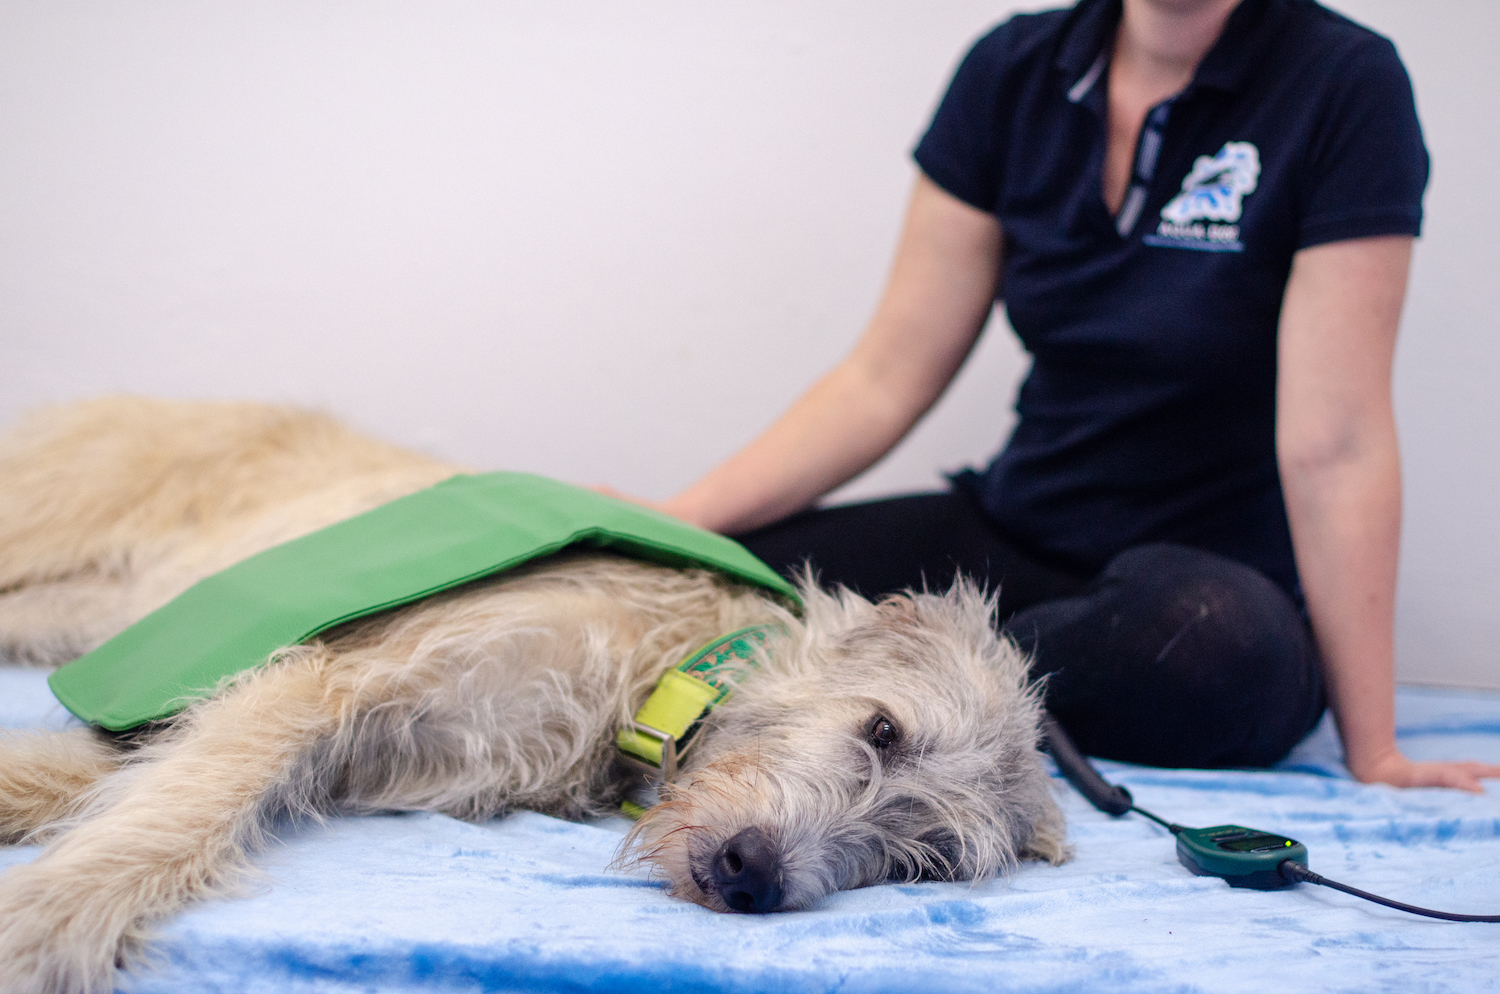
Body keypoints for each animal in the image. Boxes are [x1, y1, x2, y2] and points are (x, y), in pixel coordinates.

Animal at [0, 396, 1066, 994]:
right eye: (883, 729)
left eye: (923, 863)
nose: (752, 875)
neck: (656, 675)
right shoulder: (321, 680)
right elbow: (181, 812)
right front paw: (40, 929)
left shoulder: (296, 730)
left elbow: (115, 780)